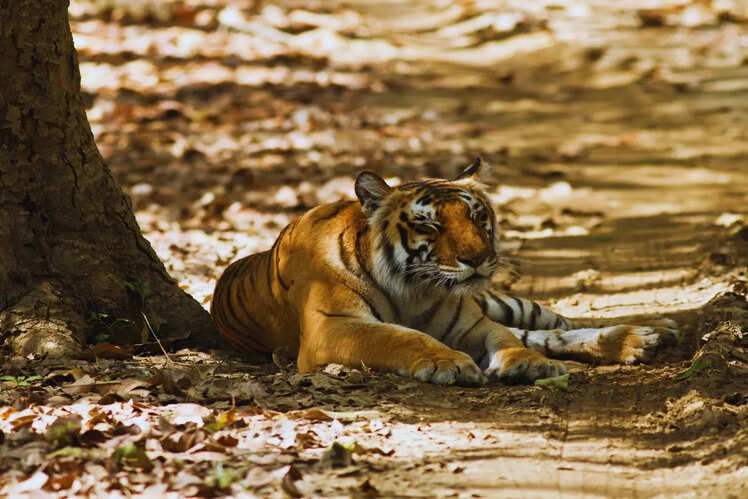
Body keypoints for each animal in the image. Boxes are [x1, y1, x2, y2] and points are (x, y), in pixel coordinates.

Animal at [211, 157, 679, 385]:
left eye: (478, 217)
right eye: (429, 226)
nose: (479, 257)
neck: (412, 289)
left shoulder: (473, 322)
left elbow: (509, 340)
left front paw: (529, 365)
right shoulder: (333, 327)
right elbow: (399, 337)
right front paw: (446, 363)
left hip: (500, 302)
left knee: (552, 324)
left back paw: (648, 333)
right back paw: (646, 339)